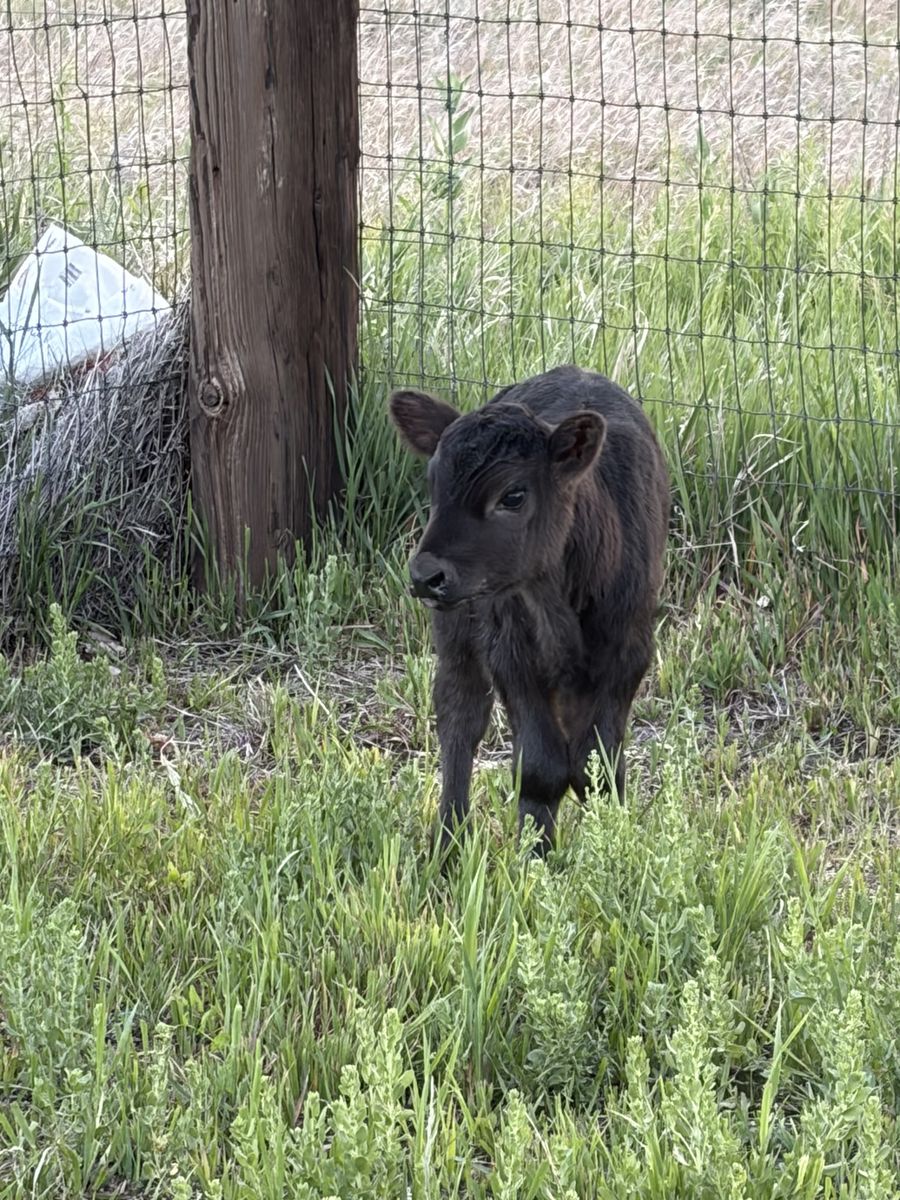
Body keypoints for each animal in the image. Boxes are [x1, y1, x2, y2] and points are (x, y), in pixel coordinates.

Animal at [389, 365, 670, 857]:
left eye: (514, 496)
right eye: (433, 484)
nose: (426, 575)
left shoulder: (629, 650)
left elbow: (599, 766)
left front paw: (615, 846)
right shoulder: (510, 649)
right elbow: (541, 768)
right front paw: (536, 857)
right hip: (458, 627)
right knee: (460, 716)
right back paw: (448, 844)